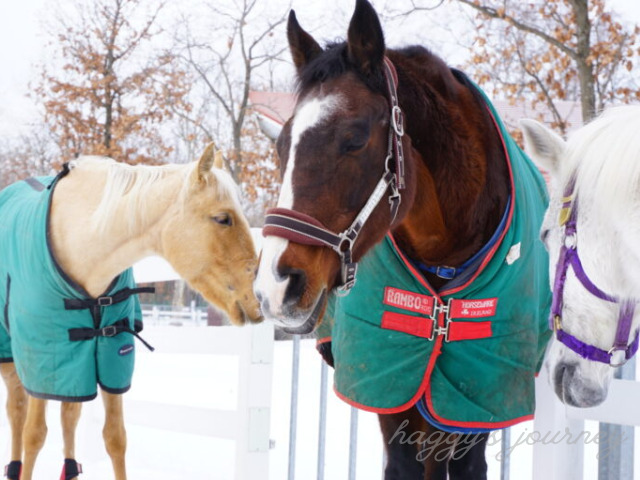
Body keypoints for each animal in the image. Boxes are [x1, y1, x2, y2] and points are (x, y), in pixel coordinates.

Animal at [0, 144, 262, 480]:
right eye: (222, 218)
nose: (257, 301)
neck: (79, 240)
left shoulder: (111, 352)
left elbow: (115, 437)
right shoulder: (43, 358)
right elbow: (33, 435)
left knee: (70, 413)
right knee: (17, 412)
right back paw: (15, 467)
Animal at [255, 0, 552, 480]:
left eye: (354, 138)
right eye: (282, 145)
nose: (274, 286)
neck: (444, 255)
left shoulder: (477, 399)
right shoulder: (392, 386)